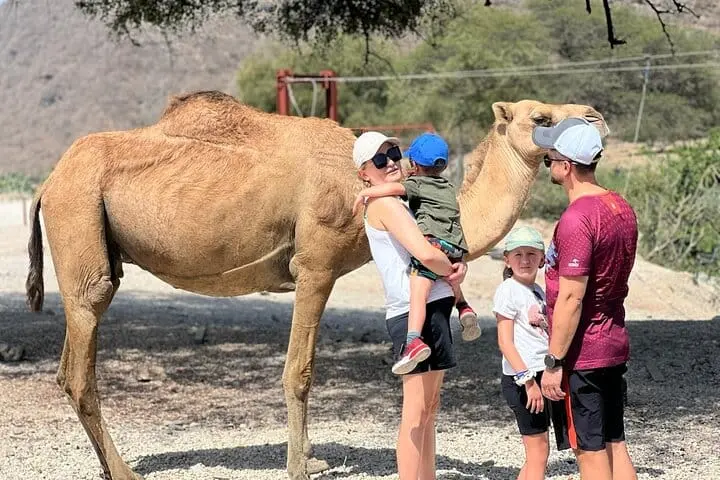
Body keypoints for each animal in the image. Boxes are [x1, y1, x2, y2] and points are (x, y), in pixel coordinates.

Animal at [25, 90, 608, 480]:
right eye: (541, 117)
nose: (596, 116)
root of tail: (48, 181)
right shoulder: (317, 264)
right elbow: (299, 372)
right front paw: (299, 468)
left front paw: (313, 458)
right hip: (81, 223)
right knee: (80, 365)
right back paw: (123, 472)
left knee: (68, 365)